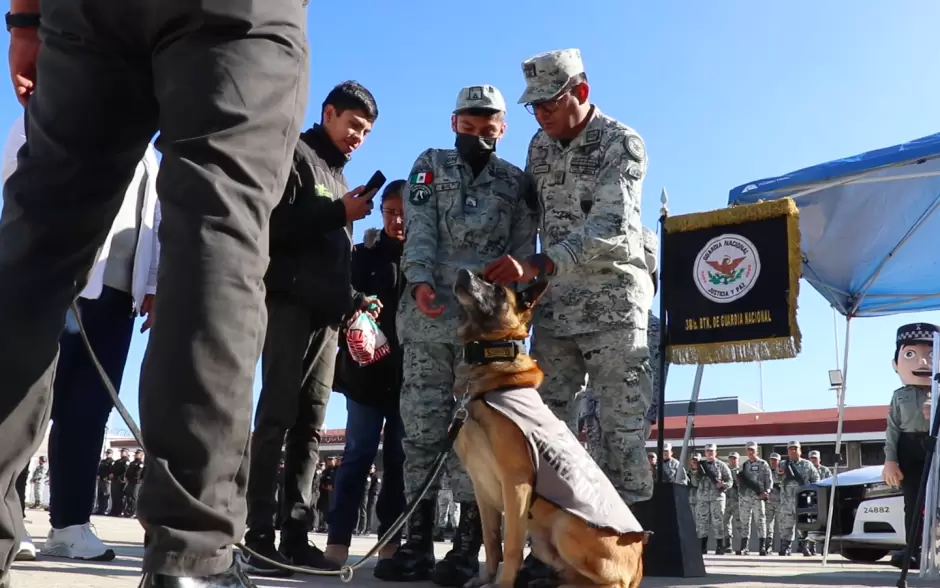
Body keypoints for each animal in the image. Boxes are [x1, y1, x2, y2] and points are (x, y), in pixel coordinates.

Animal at [452, 270, 648, 588]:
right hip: (546, 540)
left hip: (564, 525)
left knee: (608, 583)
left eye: (497, 289)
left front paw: (502, 584)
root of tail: (640, 562)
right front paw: (485, 579)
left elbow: (512, 545)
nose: (463, 272)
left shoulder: (517, 483)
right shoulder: (482, 489)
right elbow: (492, 542)